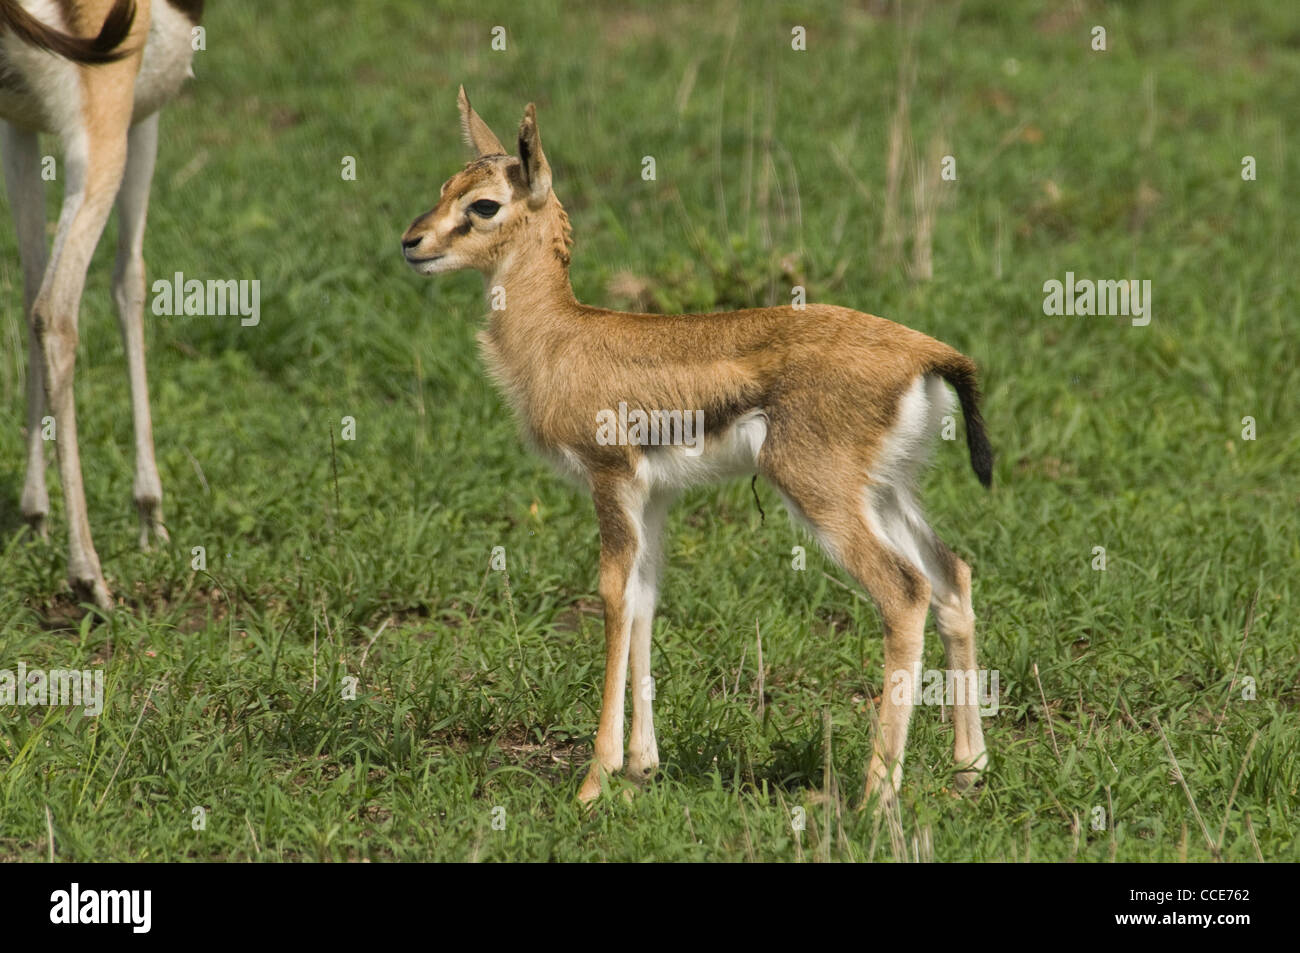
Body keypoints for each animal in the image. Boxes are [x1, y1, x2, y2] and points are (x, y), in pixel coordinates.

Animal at [1, 0, 203, 609]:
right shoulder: (140, 121)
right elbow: (129, 280)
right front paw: (151, 516)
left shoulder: (17, 127)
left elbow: (27, 282)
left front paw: (35, 515)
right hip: (100, 141)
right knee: (56, 314)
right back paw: (89, 573)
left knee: (37, 301)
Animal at [402, 88, 994, 806]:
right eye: (445, 186)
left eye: (483, 204)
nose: (411, 243)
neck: (560, 337)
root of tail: (928, 354)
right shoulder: (653, 498)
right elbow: (645, 599)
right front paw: (641, 766)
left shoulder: (610, 481)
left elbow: (612, 596)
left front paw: (594, 781)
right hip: (885, 493)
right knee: (951, 577)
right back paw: (969, 768)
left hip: (822, 496)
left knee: (905, 592)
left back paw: (876, 796)